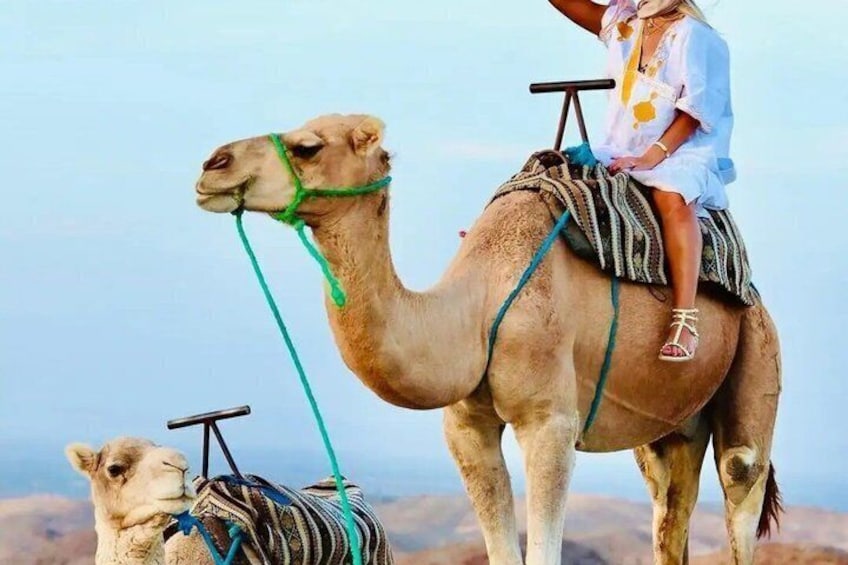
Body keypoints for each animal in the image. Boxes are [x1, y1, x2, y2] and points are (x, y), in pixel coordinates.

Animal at [194, 113, 782, 565]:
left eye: (307, 146)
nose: (212, 165)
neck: (474, 311)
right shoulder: (466, 427)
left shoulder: (550, 422)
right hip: (672, 427)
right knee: (668, 506)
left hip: (757, 346)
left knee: (740, 475)